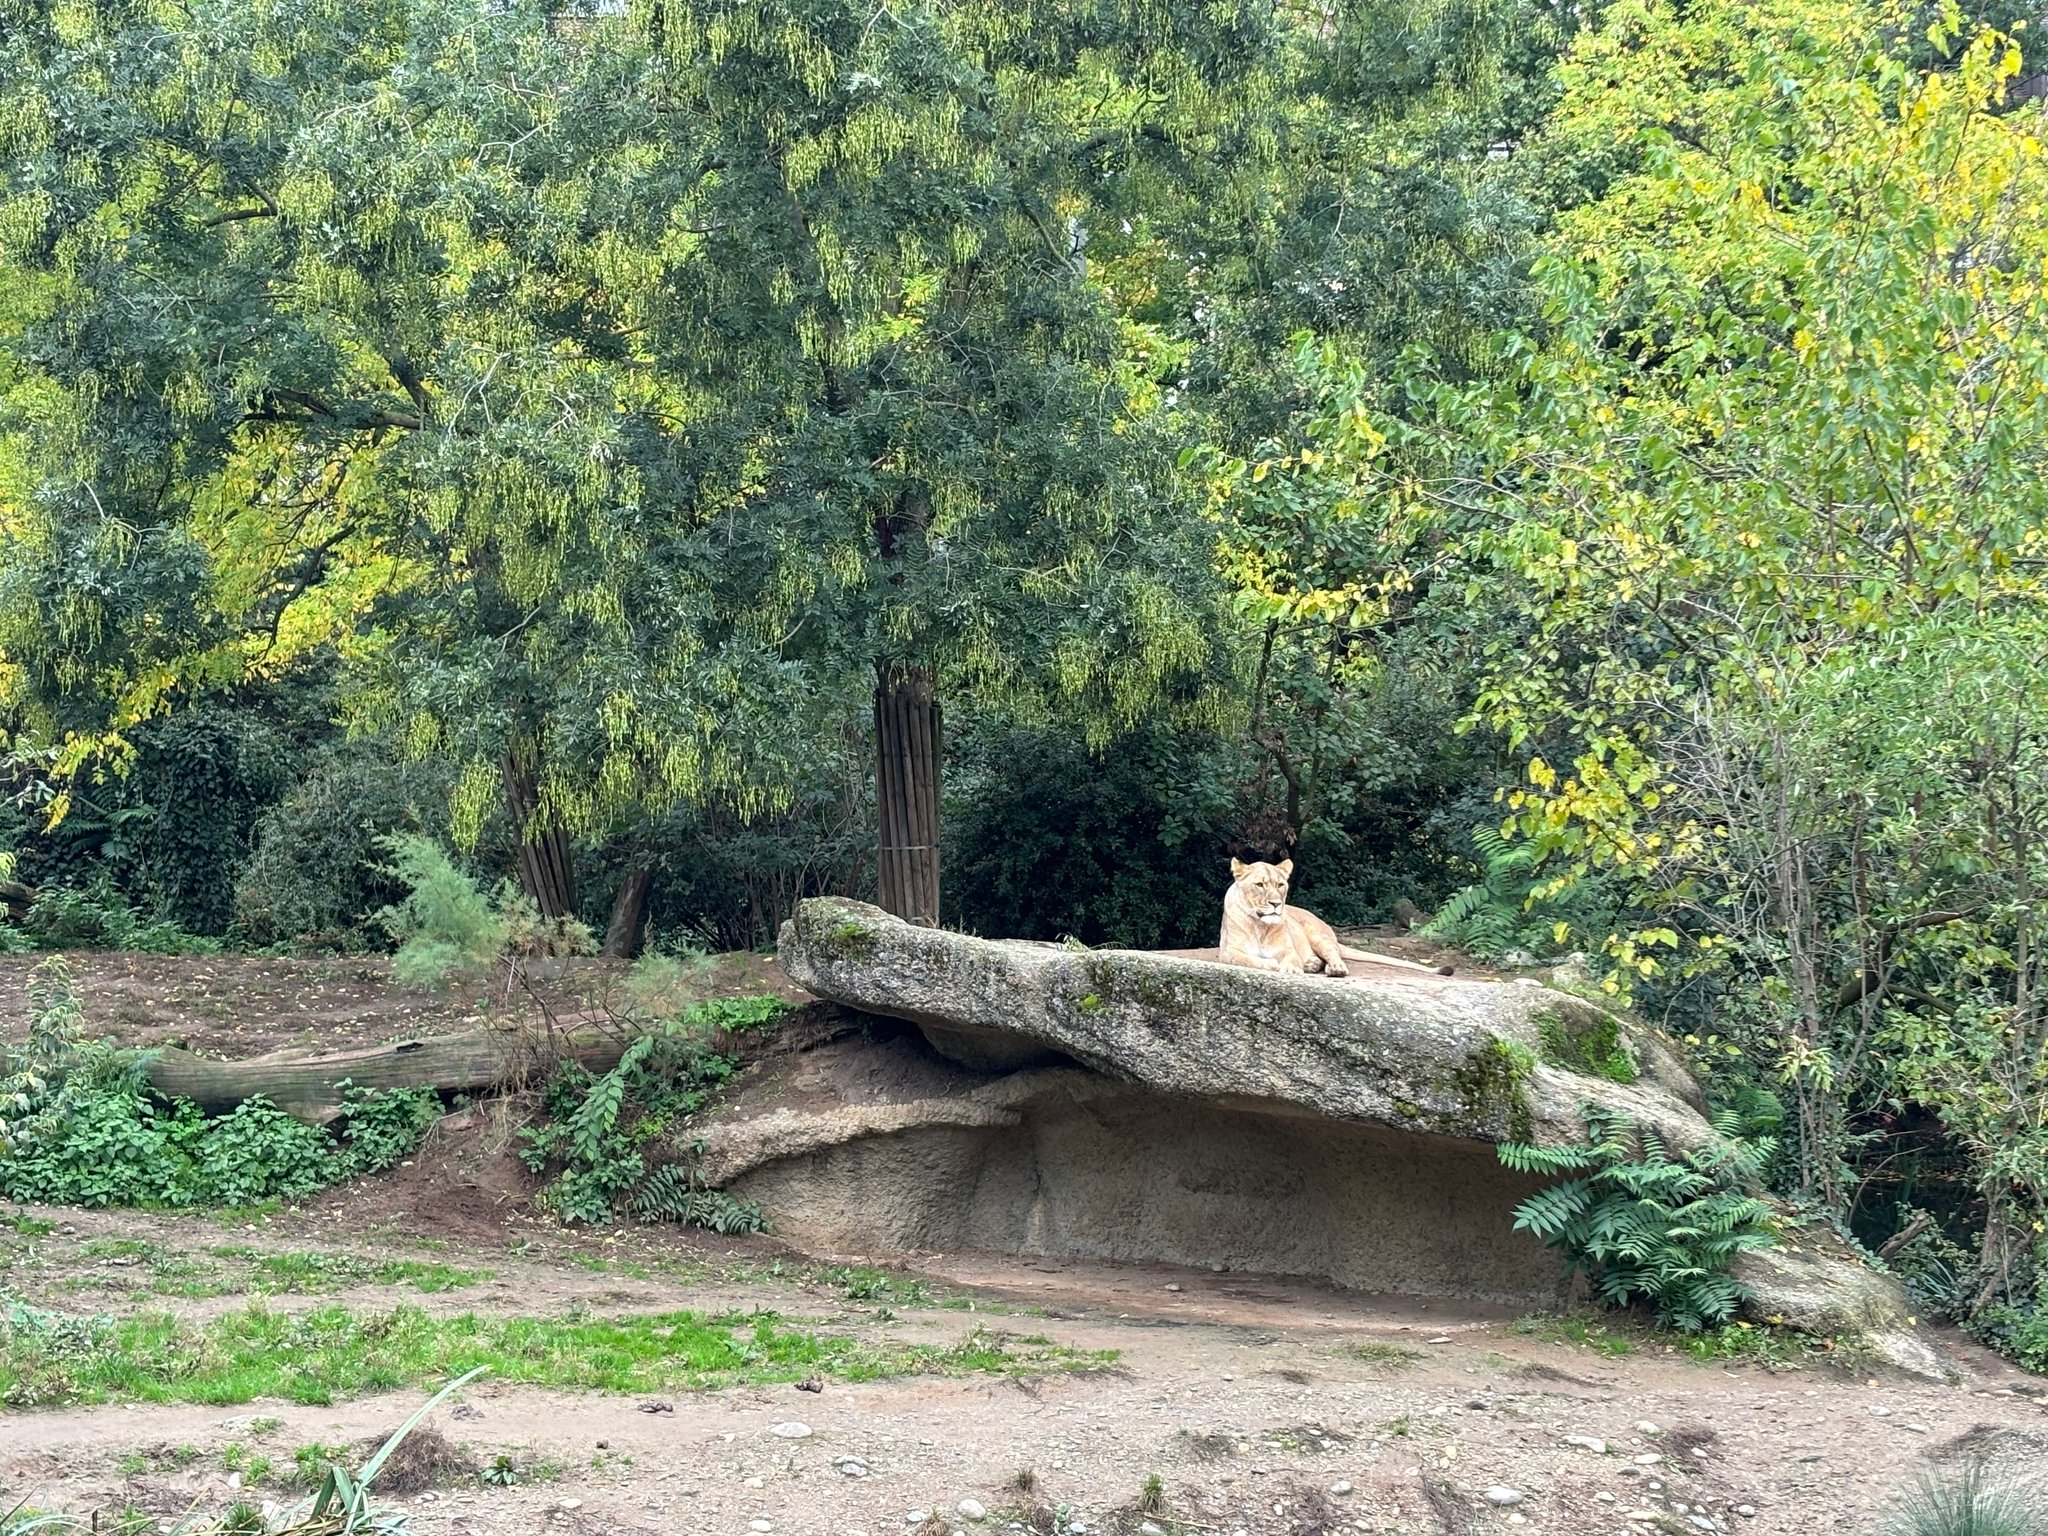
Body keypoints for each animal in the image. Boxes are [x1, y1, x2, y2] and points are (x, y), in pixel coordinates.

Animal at [1219, 858, 1448, 978]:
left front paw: (1291, 967)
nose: (1276, 904)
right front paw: (1277, 965)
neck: (1260, 926)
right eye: (1259, 884)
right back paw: (1311, 965)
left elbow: (1291, 958)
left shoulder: (1288, 949)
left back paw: (1334, 968)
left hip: (1318, 936)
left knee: (1333, 955)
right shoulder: (1229, 952)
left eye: (1280, 885)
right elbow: (1252, 960)